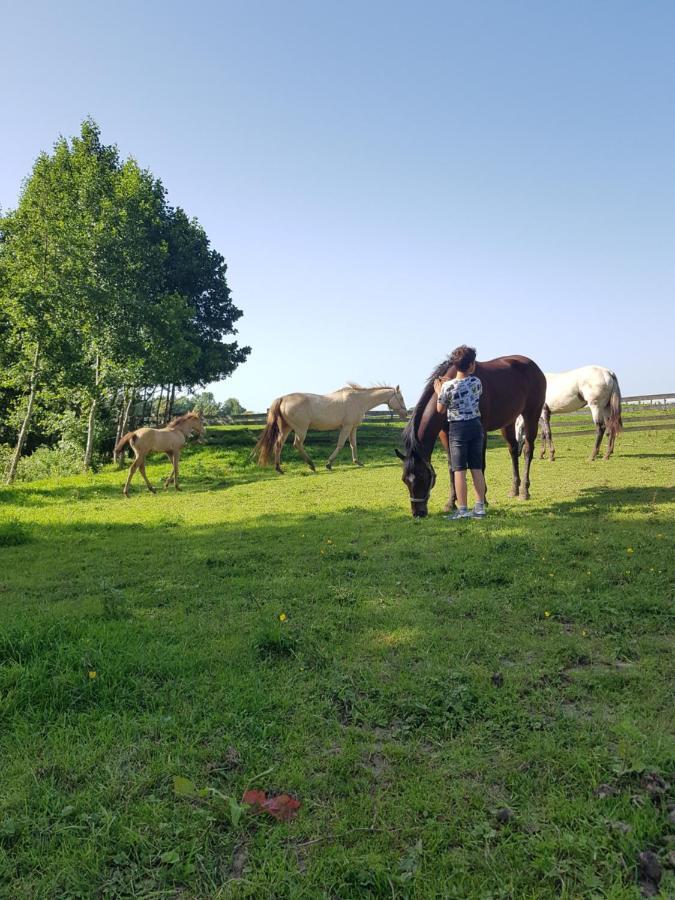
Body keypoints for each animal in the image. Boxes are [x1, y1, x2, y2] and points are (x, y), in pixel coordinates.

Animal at [256, 384, 410, 474]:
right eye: (401, 398)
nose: (406, 413)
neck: (359, 400)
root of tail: (282, 398)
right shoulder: (346, 427)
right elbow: (341, 444)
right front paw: (329, 464)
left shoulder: (353, 428)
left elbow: (353, 444)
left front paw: (358, 462)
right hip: (301, 429)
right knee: (297, 444)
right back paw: (311, 465)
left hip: (286, 428)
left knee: (278, 445)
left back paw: (279, 469)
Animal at [396, 356, 548, 516]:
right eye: (405, 480)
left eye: (422, 477)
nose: (418, 513)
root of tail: (534, 367)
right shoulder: (445, 435)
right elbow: (452, 467)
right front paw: (451, 502)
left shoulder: (480, 432)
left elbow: (480, 464)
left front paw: (483, 499)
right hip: (509, 423)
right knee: (513, 450)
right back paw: (514, 489)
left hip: (531, 415)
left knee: (527, 450)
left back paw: (524, 491)